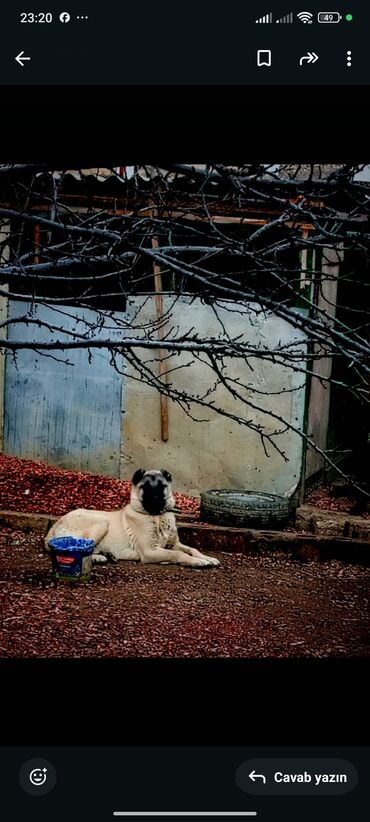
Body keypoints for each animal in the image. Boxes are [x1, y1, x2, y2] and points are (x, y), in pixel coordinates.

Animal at [45, 474, 221, 568]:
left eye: (161, 486)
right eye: (146, 487)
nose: (155, 499)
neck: (157, 516)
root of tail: (53, 528)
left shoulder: (174, 544)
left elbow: (191, 549)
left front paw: (208, 558)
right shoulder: (150, 552)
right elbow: (177, 554)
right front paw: (197, 562)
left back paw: (108, 555)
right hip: (101, 521)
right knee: (78, 548)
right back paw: (97, 558)